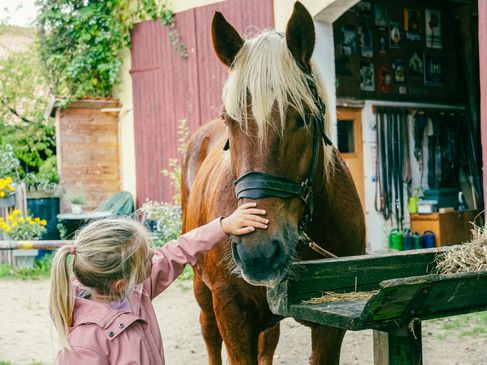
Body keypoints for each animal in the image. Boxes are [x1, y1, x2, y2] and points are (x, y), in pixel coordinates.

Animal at [183, 2, 366, 362]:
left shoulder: (329, 320)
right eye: (229, 121)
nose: (258, 252)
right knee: (209, 335)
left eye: (304, 118)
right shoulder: (232, 312)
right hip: (203, 292)